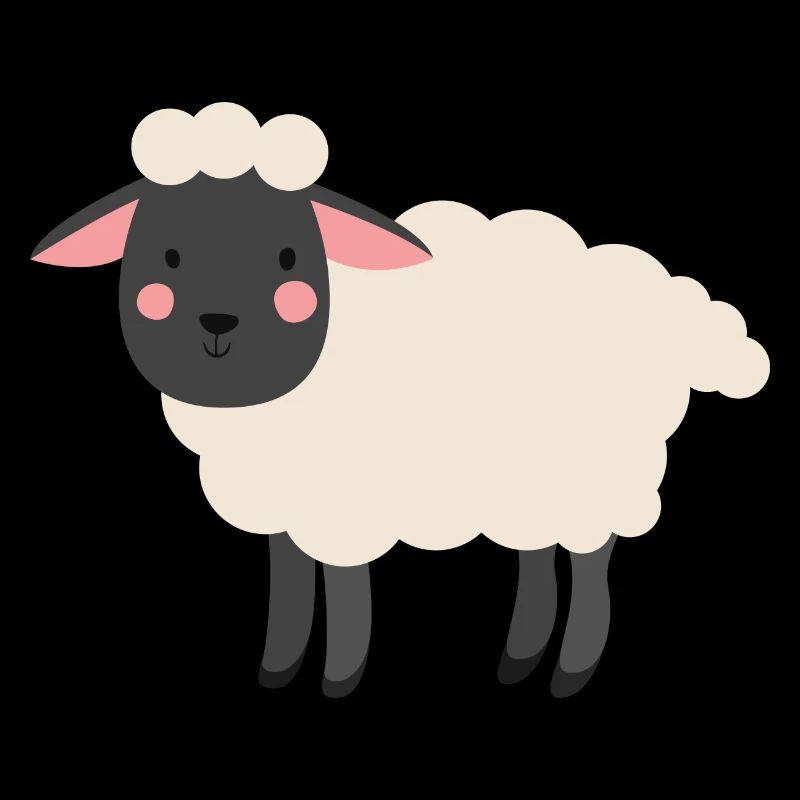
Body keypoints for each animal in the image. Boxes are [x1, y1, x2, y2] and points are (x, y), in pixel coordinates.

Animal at [31, 102, 770, 698]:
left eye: (289, 258)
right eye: (169, 257)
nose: (218, 323)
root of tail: (672, 307)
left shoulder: (347, 505)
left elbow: (345, 595)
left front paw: (336, 682)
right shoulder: (288, 504)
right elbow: (291, 585)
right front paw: (276, 673)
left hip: (596, 477)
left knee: (591, 568)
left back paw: (568, 675)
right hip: (529, 482)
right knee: (539, 560)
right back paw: (517, 662)